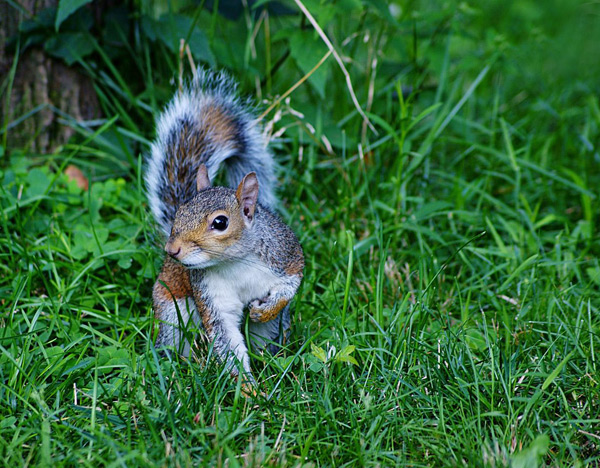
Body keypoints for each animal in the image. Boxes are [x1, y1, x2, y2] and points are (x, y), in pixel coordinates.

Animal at [146, 68, 304, 384]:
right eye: (179, 212)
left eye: (220, 222)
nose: (172, 249)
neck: (235, 262)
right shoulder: (211, 296)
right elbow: (226, 337)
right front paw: (248, 389)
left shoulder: (286, 255)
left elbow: (290, 285)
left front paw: (265, 310)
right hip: (172, 309)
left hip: (269, 331)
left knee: (264, 337)